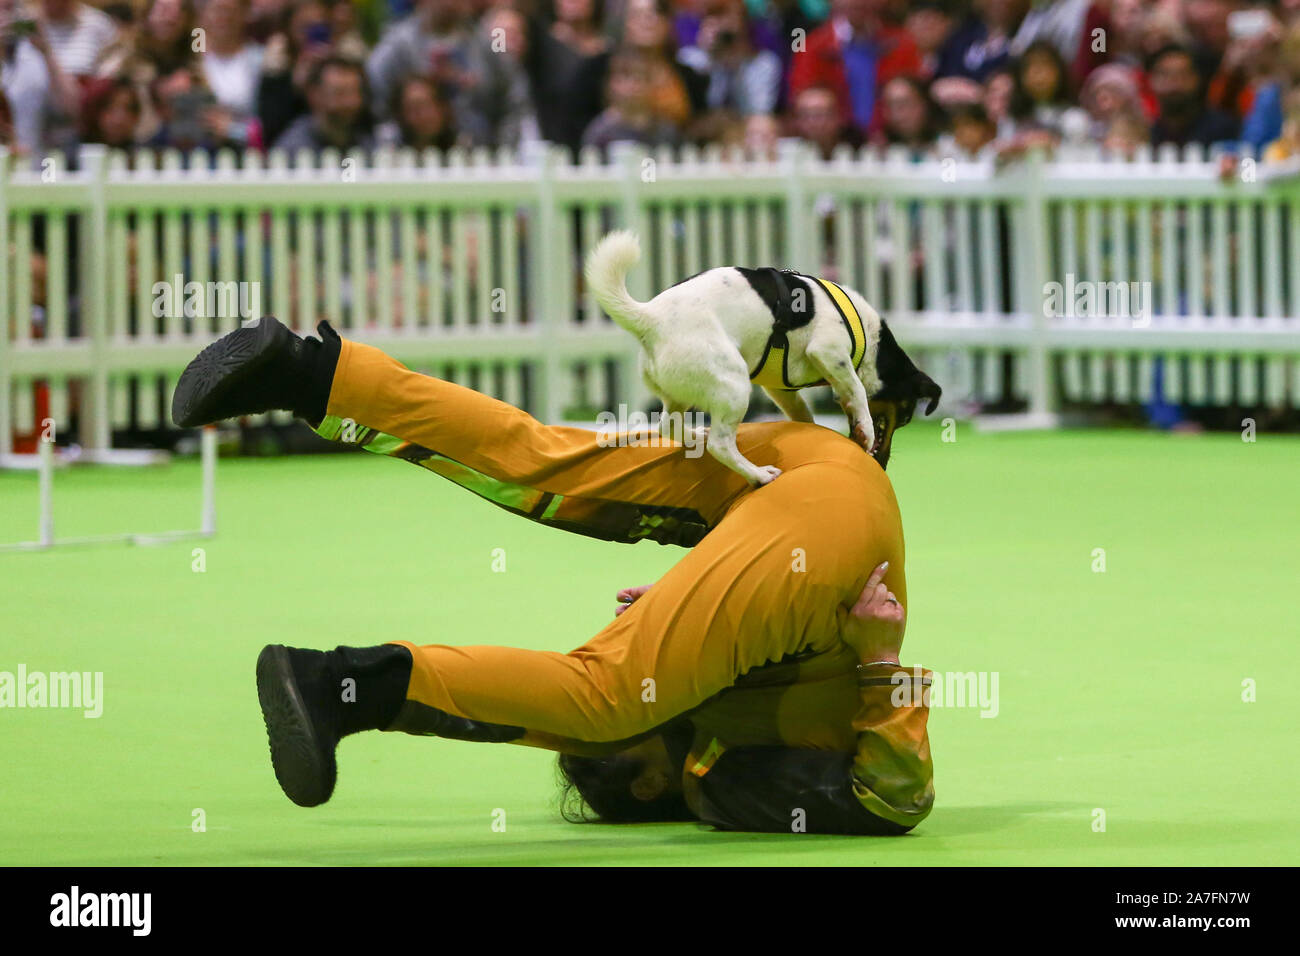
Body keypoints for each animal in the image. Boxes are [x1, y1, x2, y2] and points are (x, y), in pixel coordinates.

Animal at [590, 231, 946, 486]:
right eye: (906, 416)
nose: (883, 465)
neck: (870, 339)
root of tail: (650, 317)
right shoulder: (828, 351)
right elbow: (857, 391)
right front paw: (865, 430)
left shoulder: (781, 389)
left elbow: (805, 414)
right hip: (733, 384)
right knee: (721, 444)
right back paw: (758, 474)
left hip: (685, 390)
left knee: (669, 424)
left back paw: (695, 437)